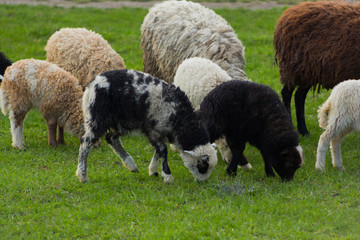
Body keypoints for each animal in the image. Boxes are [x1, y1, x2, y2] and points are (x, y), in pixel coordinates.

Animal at [272, 0, 360, 136]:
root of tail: (288, 13)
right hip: (294, 68)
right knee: (287, 93)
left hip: (309, 71)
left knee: (299, 95)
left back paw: (303, 131)